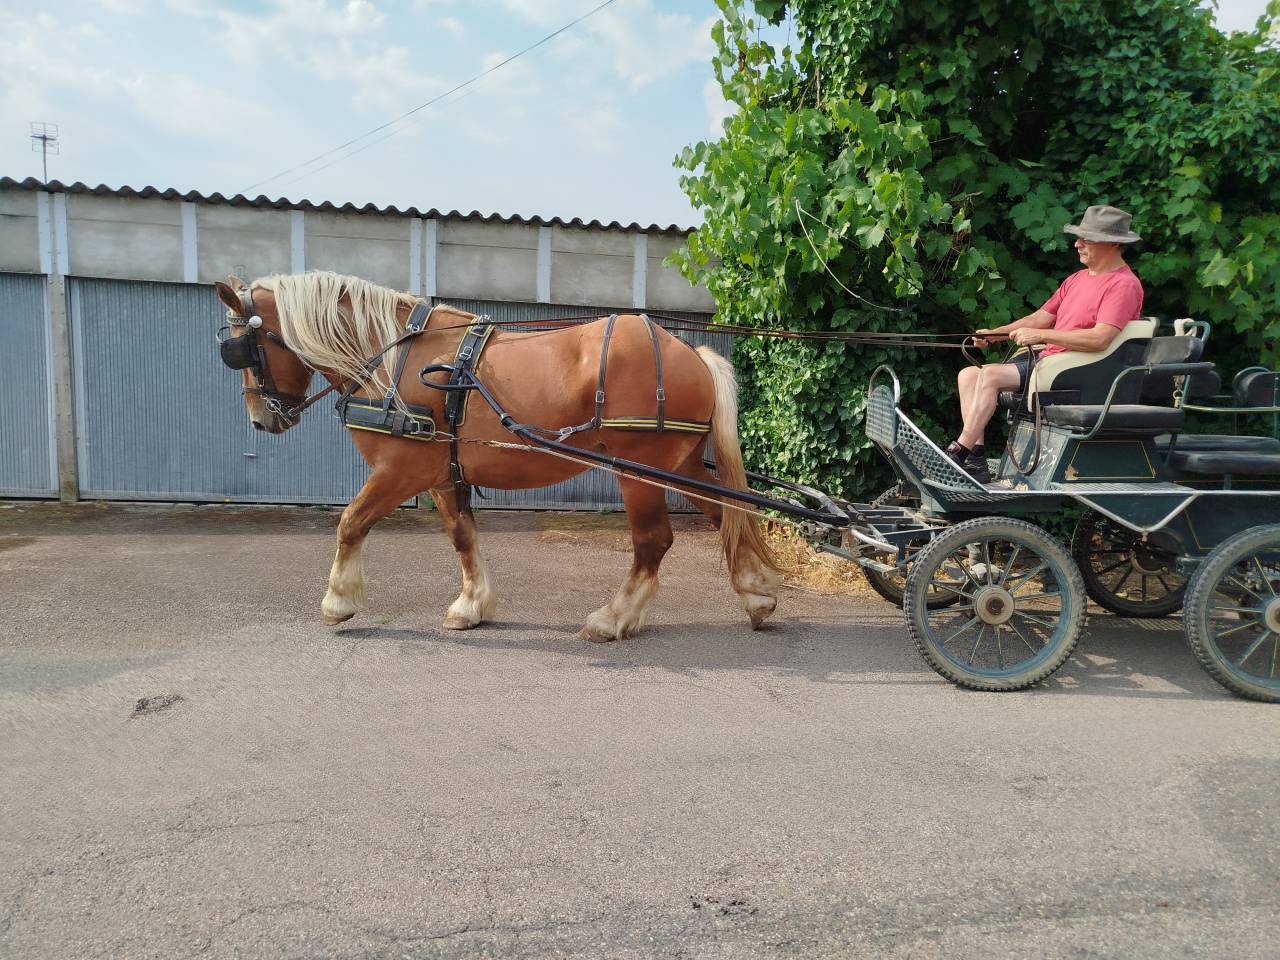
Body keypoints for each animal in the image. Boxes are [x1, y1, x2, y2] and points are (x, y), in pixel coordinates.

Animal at [213, 271, 778, 641]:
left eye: (241, 349)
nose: (261, 420)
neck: (392, 358)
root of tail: (689, 352)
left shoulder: (402, 469)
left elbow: (351, 522)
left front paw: (338, 601)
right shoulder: (444, 474)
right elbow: (462, 537)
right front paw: (472, 605)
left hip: (640, 471)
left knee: (653, 542)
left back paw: (612, 618)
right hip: (679, 466)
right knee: (728, 515)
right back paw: (756, 595)